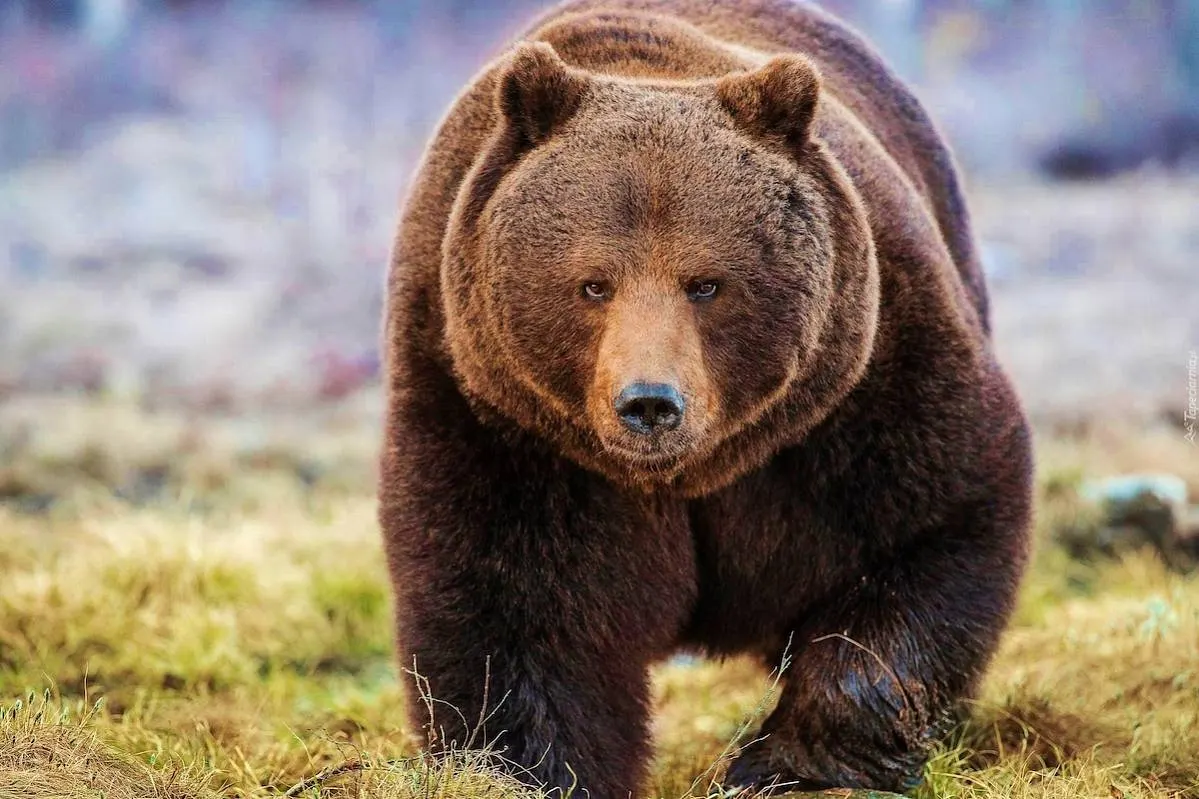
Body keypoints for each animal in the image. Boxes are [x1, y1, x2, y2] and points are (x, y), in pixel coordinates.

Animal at [378, 1, 1033, 797]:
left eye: (707, 282)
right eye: (592, 283)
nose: (649, 402)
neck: (686, 473)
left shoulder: (863, 376)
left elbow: (929, 521)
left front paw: (786, 764)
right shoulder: (492, 408)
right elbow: (511, 605)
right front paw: (532, 767)